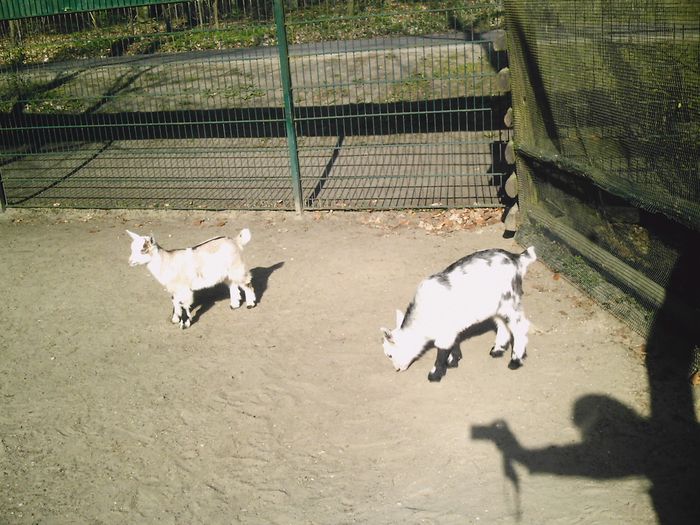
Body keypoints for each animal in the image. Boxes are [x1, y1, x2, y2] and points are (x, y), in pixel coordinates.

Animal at [127, 229, 256, 328]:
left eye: (142, 250)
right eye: (132, 249)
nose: (130, 262)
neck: (167, 262)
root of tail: (235, 241)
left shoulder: (183, 288)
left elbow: (183, 303)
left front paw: (184, 324)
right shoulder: (174, 288)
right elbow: (175, 301)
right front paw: (175, 319)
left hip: (236, 267)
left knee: (247, 283)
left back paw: (250, 304)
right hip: (227, 272)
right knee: (232, 284)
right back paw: (234, 305)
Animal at [382, 246, 536, 380]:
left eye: (390, 355)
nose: (397, 369)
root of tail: (516, 258)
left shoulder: (444, 330)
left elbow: (442, 350)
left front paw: (435, 375)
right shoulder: (450, 328)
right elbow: (454, 343)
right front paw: (453, 361)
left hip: (510, 302)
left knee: (520, 328)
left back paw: (516, 361)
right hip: (498, 308)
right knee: (502, 325)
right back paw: (497, 350)